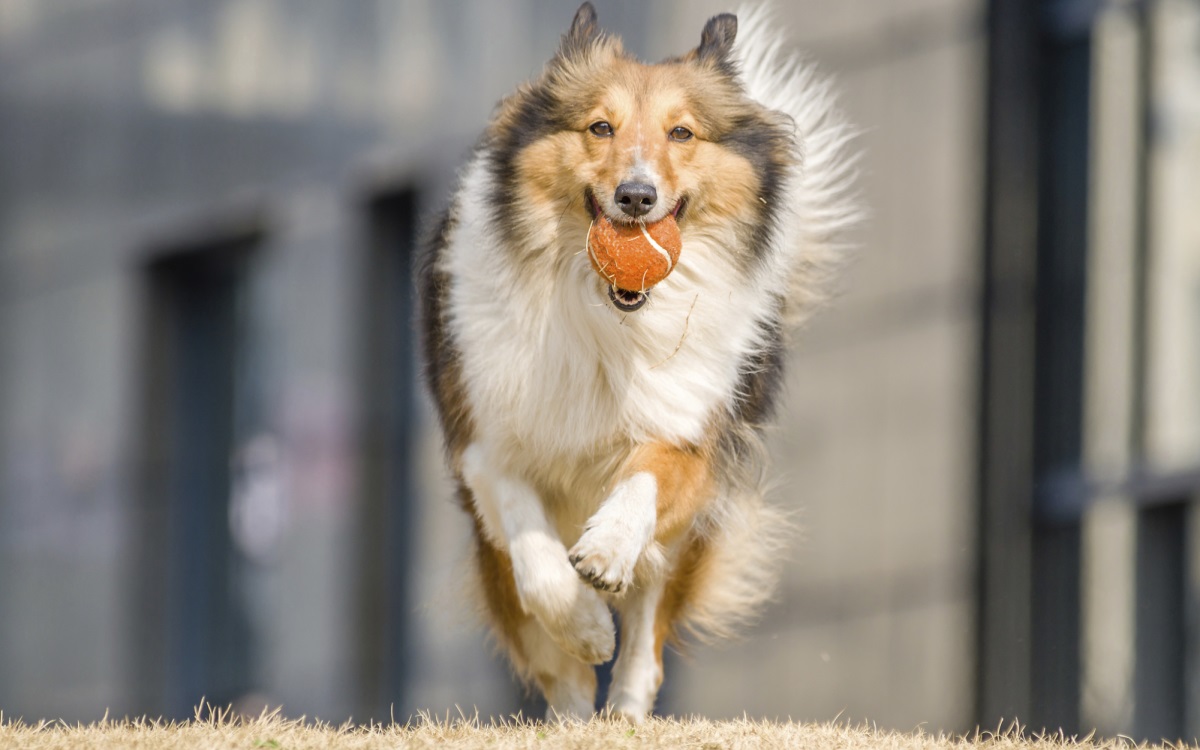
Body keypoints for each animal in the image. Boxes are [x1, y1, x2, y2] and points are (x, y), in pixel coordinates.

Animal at [417, 2, 859, 724]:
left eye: (682, 132)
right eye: (600, 126)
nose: (636, 196)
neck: (610, 318)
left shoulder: (687, 429)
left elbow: (643, 482)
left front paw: (604, 551)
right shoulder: (485, 443)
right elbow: (537, 561)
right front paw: (585, 621)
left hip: (685, 538)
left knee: (647, 643)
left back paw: (622, 709)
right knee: (552, 657)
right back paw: (574, 706)